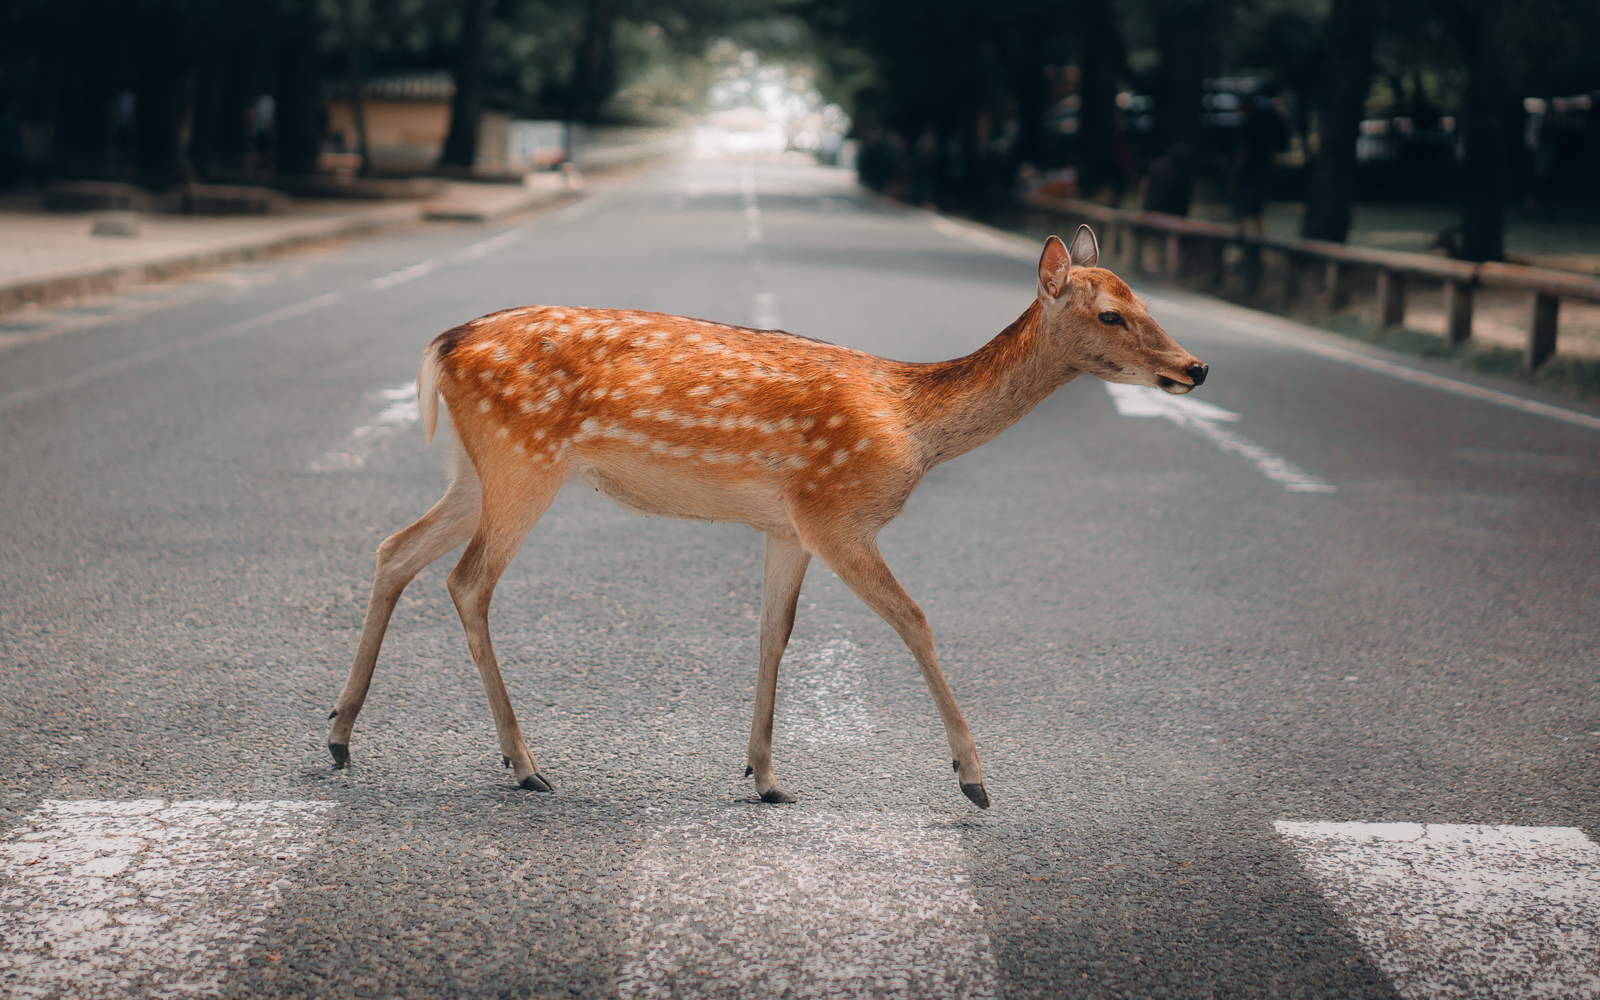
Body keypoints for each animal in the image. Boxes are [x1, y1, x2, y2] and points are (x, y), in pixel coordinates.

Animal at [328, 222, 1203, 806]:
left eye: (1143, 297)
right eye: (1111, 314)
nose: (1194, 367)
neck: (914, 425)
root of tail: (444, 345)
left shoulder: (788, 526)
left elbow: (773, 633)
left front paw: (765, 775)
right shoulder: (836, 511)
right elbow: (916, 619)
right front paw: (974, 781)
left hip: (477, 470)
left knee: (394, 547)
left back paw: (340, 735)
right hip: (524, 460)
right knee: (467, 579)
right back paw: (524, 763)